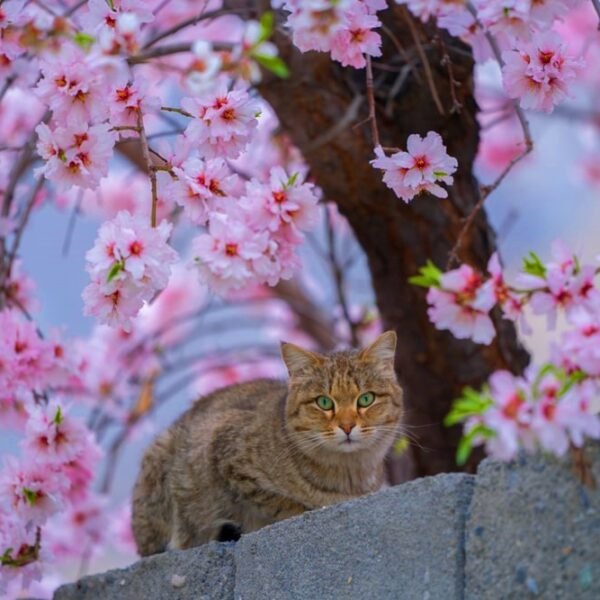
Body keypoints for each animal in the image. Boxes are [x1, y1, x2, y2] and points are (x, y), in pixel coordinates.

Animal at [131, 330, 404, 556]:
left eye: (366, 399)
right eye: (324, 402)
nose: (347, 426)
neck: (349, 474)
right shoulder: (224, 449)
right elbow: (281, 502)